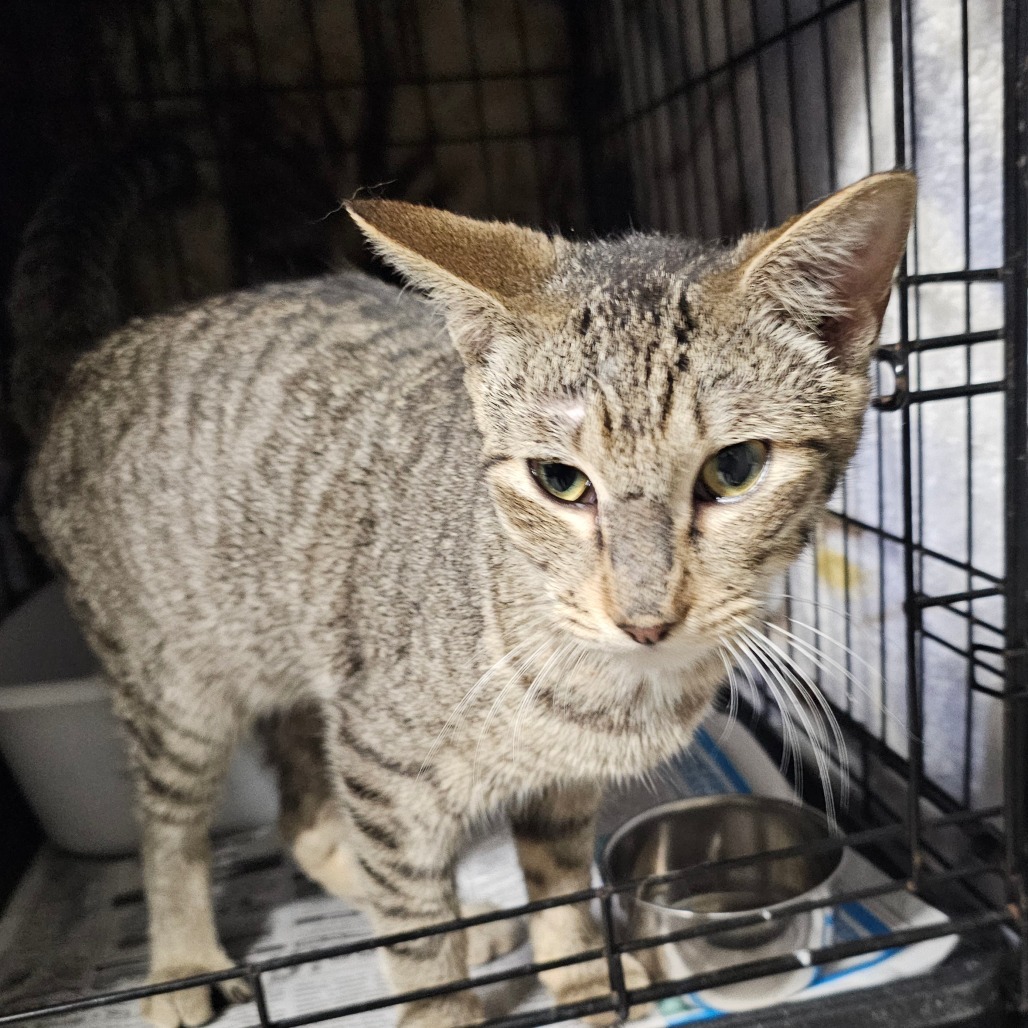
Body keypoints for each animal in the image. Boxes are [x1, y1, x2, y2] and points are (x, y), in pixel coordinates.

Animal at [10, 164, 916, 1023]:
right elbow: (416, 938)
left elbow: (556, 888)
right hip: (175, 689)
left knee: (305, 824)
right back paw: (182, 962)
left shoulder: (556, 788)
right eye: (560, 480)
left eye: (736, 468)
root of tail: (88, 364)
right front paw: (442, 1007)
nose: (644, 616)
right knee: (173, 832)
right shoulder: (381, 759)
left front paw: (582, 978)